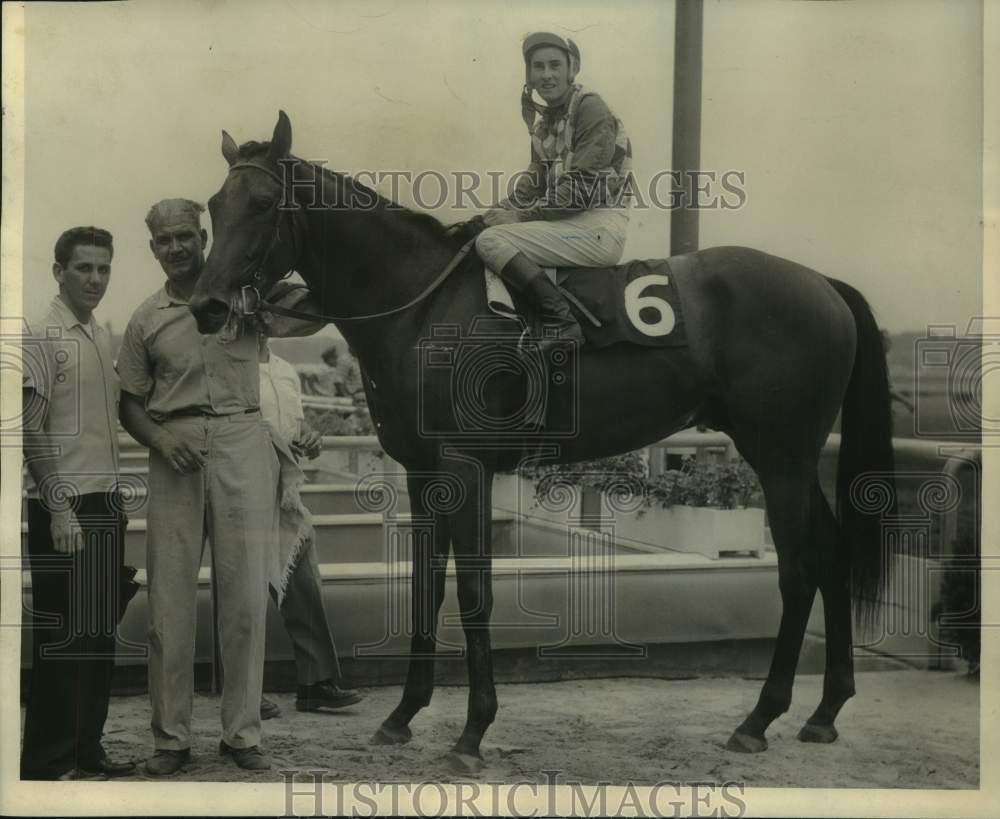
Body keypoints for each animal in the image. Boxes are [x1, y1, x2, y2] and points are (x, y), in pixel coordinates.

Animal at [189, 111, 895, 772]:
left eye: (262, 203)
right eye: (213, 206)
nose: (206, 305)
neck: (421, 305)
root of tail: (824, 285)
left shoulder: (466, 466)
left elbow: (474, 592)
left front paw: (473, 732)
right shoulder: (421, 470)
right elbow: (424, 588)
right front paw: (402, 716)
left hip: (780, 456)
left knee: (799, 568)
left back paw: (760, 718)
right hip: (793, 458)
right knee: (831, 554)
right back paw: (824, 713)